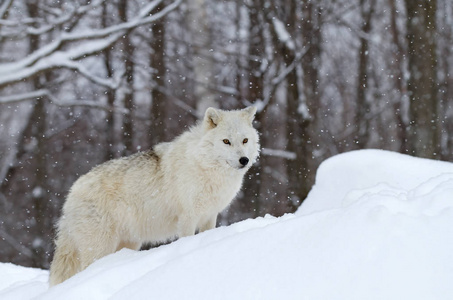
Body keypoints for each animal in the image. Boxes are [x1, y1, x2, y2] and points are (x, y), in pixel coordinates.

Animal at [48, 106, 258, 286]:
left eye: (245, 140)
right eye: (226, 141)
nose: (244, 160)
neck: (205, 166)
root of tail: (72, 192)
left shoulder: (209, 215)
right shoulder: (188, 218)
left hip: (128, 243)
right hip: (99, 247)